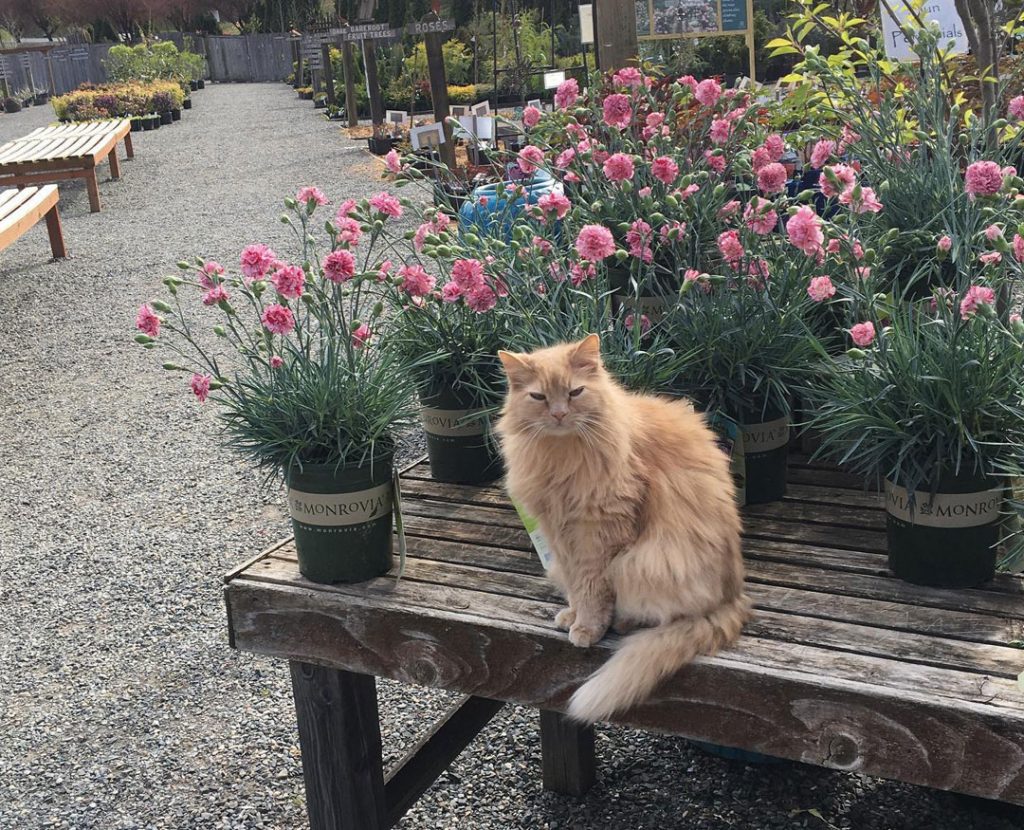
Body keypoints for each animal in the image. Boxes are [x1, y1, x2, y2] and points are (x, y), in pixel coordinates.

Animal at [497, 333, 753, 724]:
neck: (561, 456)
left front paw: (587, 627)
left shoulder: (599, 533)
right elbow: (576, 586)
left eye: (575, 392)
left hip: (644, 563)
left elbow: (592, 589)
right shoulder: (560, 535)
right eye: (538, 397)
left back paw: (623, 623)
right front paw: (572, 615)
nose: (559, 414)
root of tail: (733, 598)